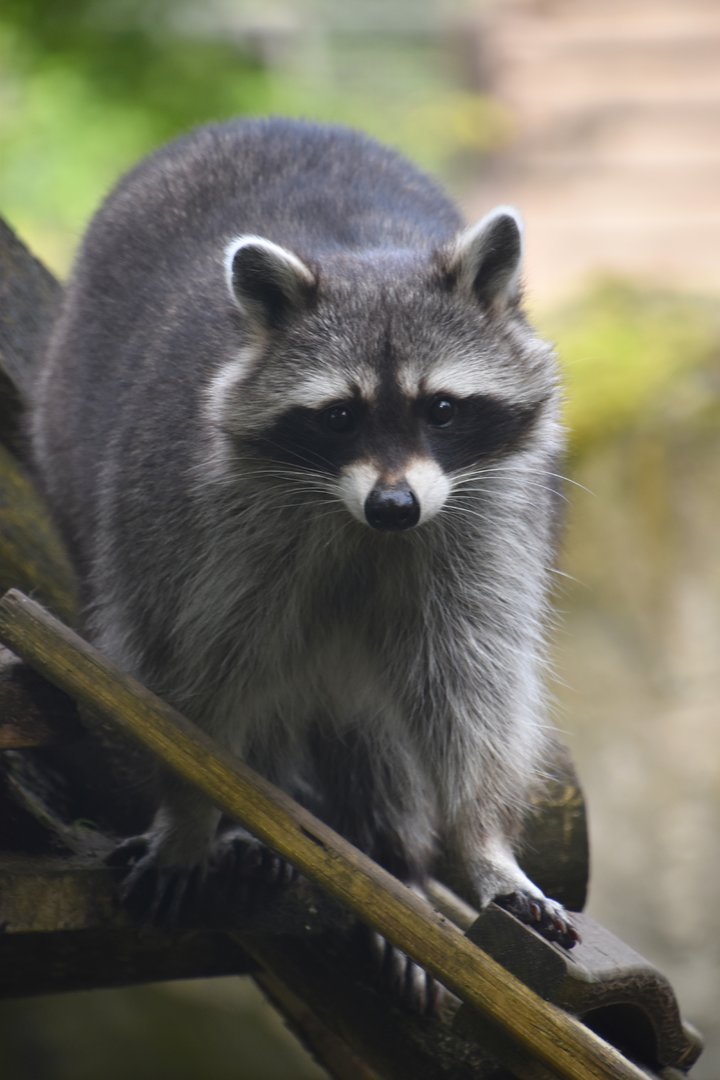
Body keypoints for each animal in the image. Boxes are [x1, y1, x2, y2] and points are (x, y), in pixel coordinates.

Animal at [32, 118, 576, 1003]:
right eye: (340, 416)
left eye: (442, 408)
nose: (395, 507)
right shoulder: (194, 527)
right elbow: (188, 677)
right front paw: (190, 812)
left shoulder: (490, 523)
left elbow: (471, 683)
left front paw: (482, 843)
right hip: (74, 445)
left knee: (374, 718)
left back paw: (392, 858)